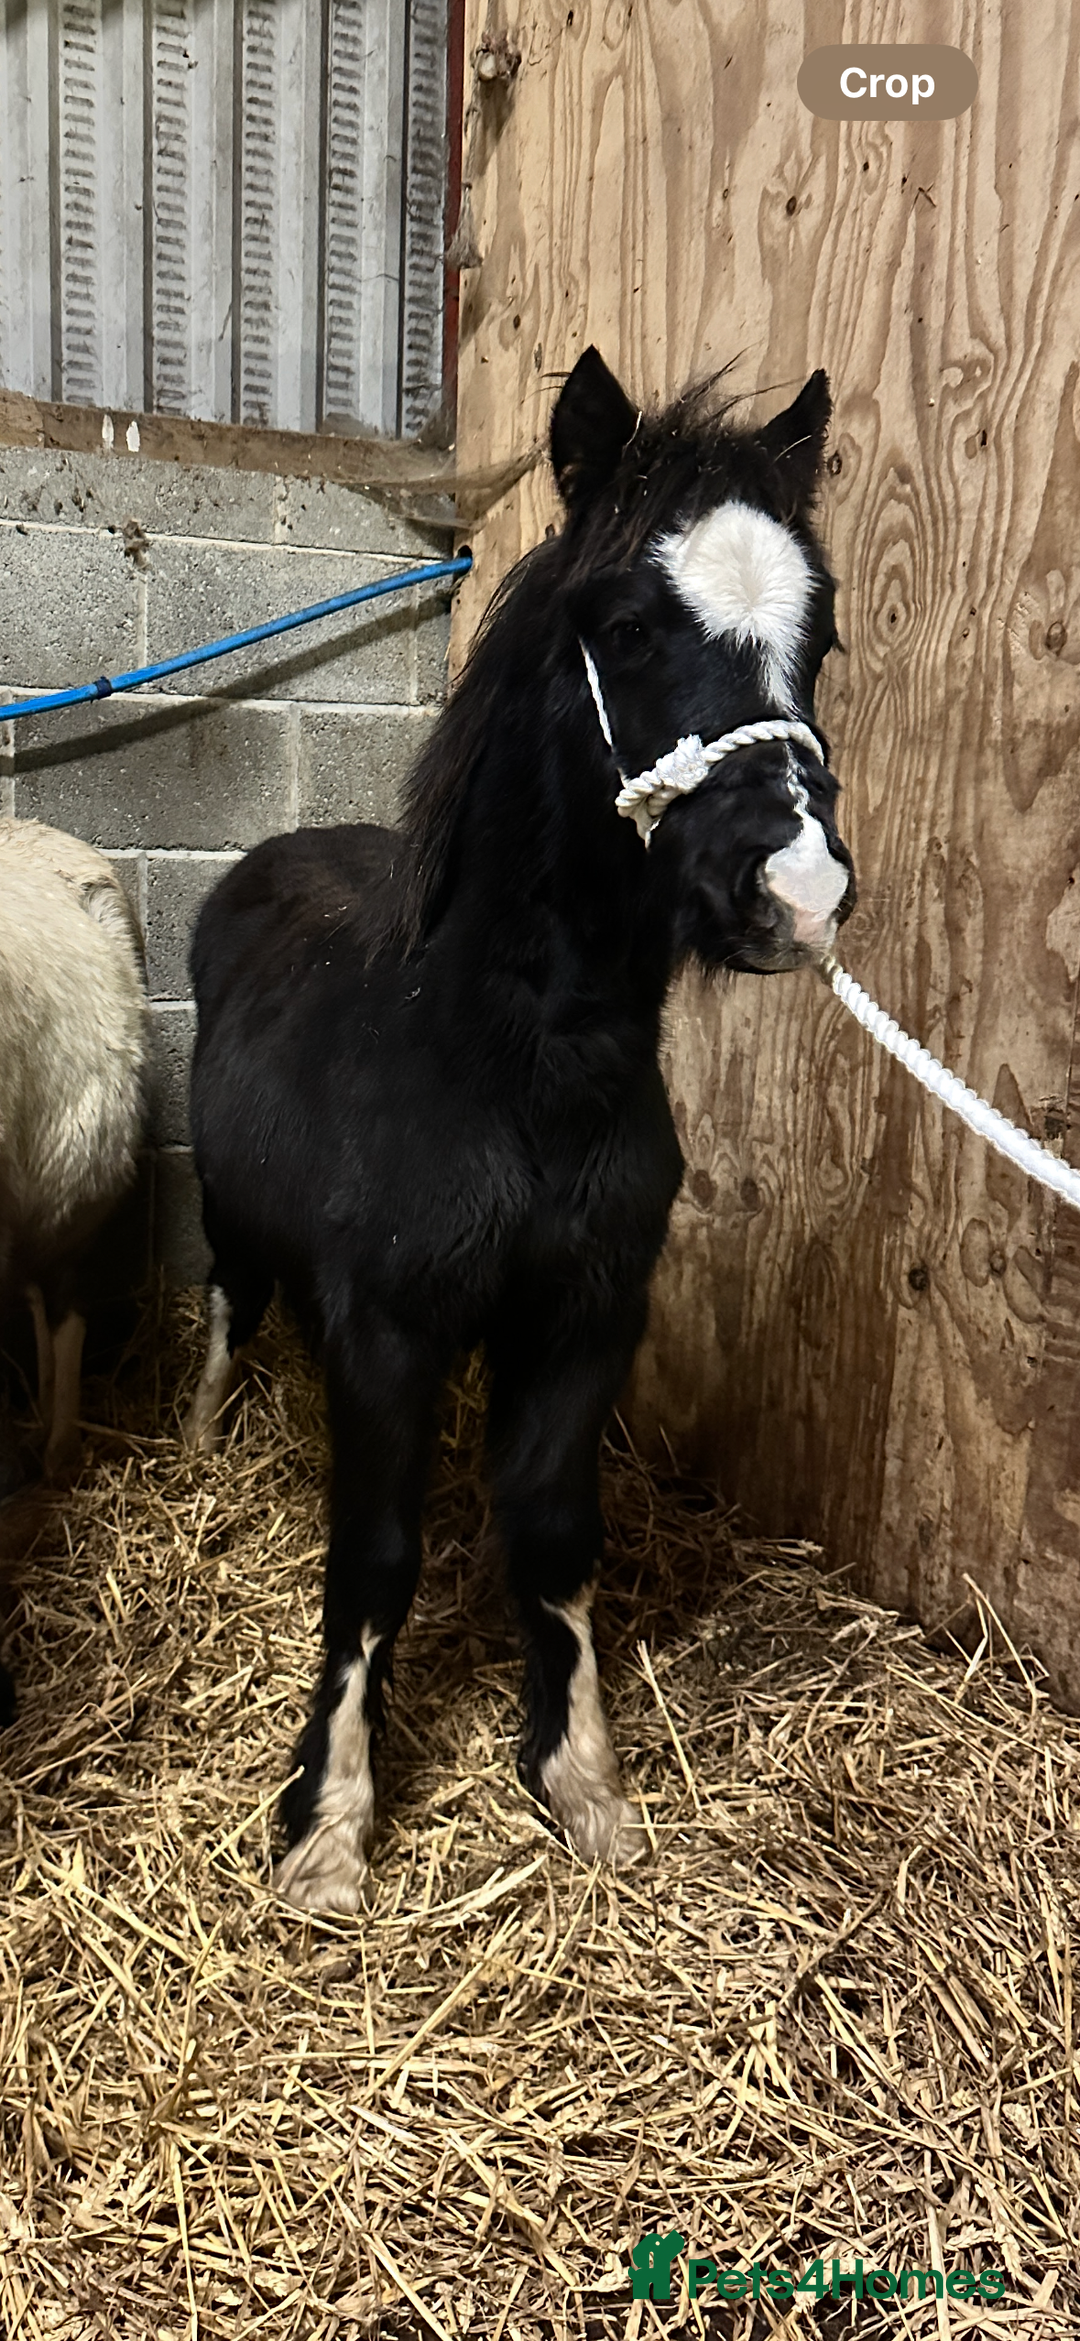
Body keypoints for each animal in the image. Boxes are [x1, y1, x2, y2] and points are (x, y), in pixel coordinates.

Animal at [184, 347, 856, 1912]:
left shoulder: (586, 1315)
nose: (795, 891)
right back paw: (198, 1440)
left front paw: (583, 1781)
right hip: (229, 1218)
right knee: (231, 1305)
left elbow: (551, 1539)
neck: (519, 1069)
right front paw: (328, 1828)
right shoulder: (388, 1329)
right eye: (627, 625)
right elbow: (373, 1554)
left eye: (822, 639)